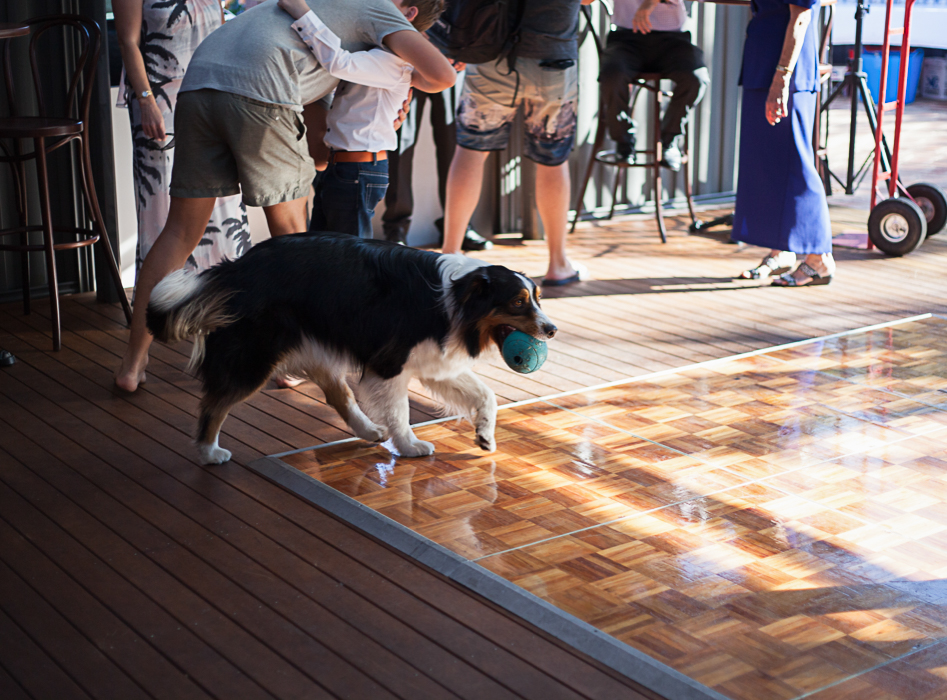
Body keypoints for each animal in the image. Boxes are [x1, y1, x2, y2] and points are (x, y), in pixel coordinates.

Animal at [147, 234, 556, 464]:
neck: (456, 297)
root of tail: (234, 268)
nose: (552, 329)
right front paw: (409, 446)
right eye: (518, 303)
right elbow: (401, 411)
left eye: (538, 298)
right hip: (255, 355)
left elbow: (486, 395)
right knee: (214, 403)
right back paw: (208, 452)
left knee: (337, 394)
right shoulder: (389, 364)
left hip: (314, 344)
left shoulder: (433, 364)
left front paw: (485, 435)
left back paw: (369, 431)